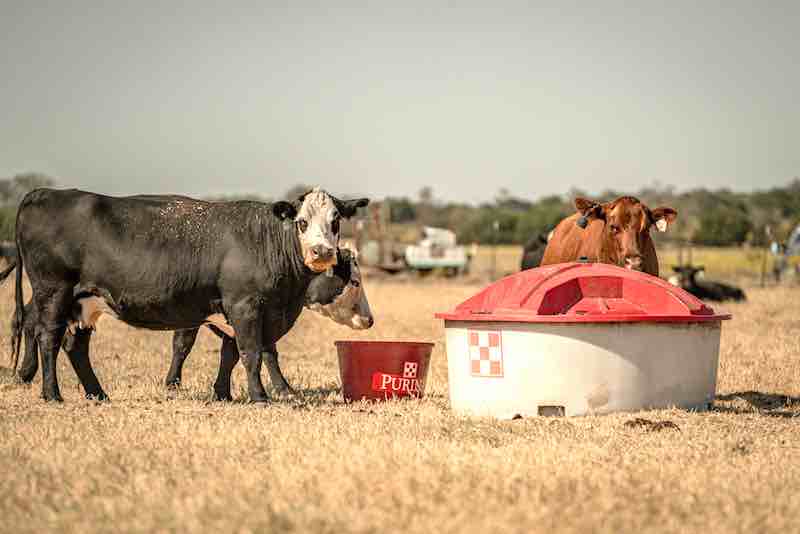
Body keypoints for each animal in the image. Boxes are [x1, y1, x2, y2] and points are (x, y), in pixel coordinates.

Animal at [6, 187, 368, 403]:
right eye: (302, 221)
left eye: (336, 220)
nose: (322, 251)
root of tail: (44, 193)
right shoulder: (245, 306)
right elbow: (252, 352)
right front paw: (260, 396)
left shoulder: (247, 314)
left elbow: (237, 352)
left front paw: (224, 394)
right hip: (53, 292)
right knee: (48, 337)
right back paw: (52, 393)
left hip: (84, 301)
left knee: (75, 346)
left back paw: (97, 394)